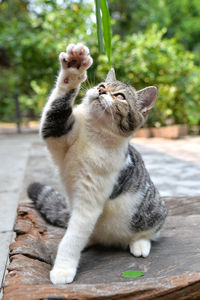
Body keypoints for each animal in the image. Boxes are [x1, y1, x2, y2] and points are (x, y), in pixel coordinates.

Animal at [27, 43, 167, 284]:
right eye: (103, 85)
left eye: (119, 96)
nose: (101, 91)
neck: (93, 134)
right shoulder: (57, 133)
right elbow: (56, 109)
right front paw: (74, 67)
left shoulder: (89, 200)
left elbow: (72, 238)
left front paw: (62, 269)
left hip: (155, 209)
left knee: (150, 232)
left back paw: (140, 244)